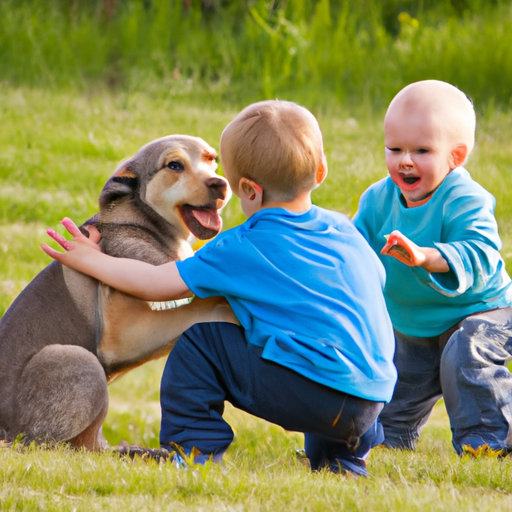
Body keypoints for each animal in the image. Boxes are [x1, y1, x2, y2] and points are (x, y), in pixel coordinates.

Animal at [0, 134, 235, 450]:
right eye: (174, 165)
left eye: (212, 159)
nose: (220, 184)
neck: (142, 223)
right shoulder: (123, 334)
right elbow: (207, 305)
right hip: (80, 361)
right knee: (45, 443)